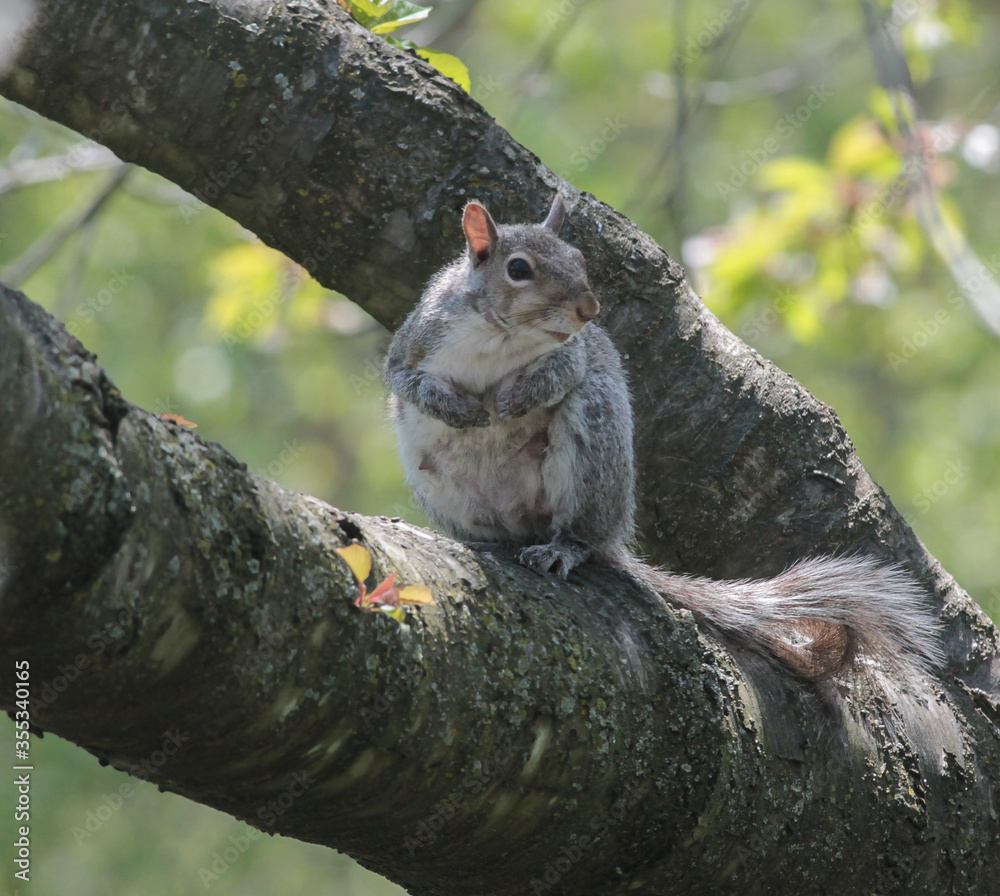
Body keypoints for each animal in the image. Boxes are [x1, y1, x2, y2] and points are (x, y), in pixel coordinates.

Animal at [383, 194, 942, 681]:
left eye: (579, 258)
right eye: (518, 269)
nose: (589, 309)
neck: (501, 337)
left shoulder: (574, 355)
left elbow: (565, 371)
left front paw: (515, 400)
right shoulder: (417, 339)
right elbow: (404, 381)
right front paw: (455, 407)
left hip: (592, 443)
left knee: (582, 531)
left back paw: (564, 548)